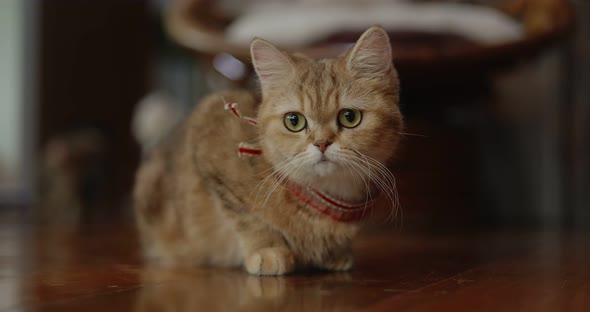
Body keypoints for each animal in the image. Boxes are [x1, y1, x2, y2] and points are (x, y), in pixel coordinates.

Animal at [133, 26, 402, 276]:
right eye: (294, 121)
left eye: (349, 117)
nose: (322, 143)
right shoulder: (209, 135)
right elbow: (249, 219)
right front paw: (267, 249)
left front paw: (335, 255)